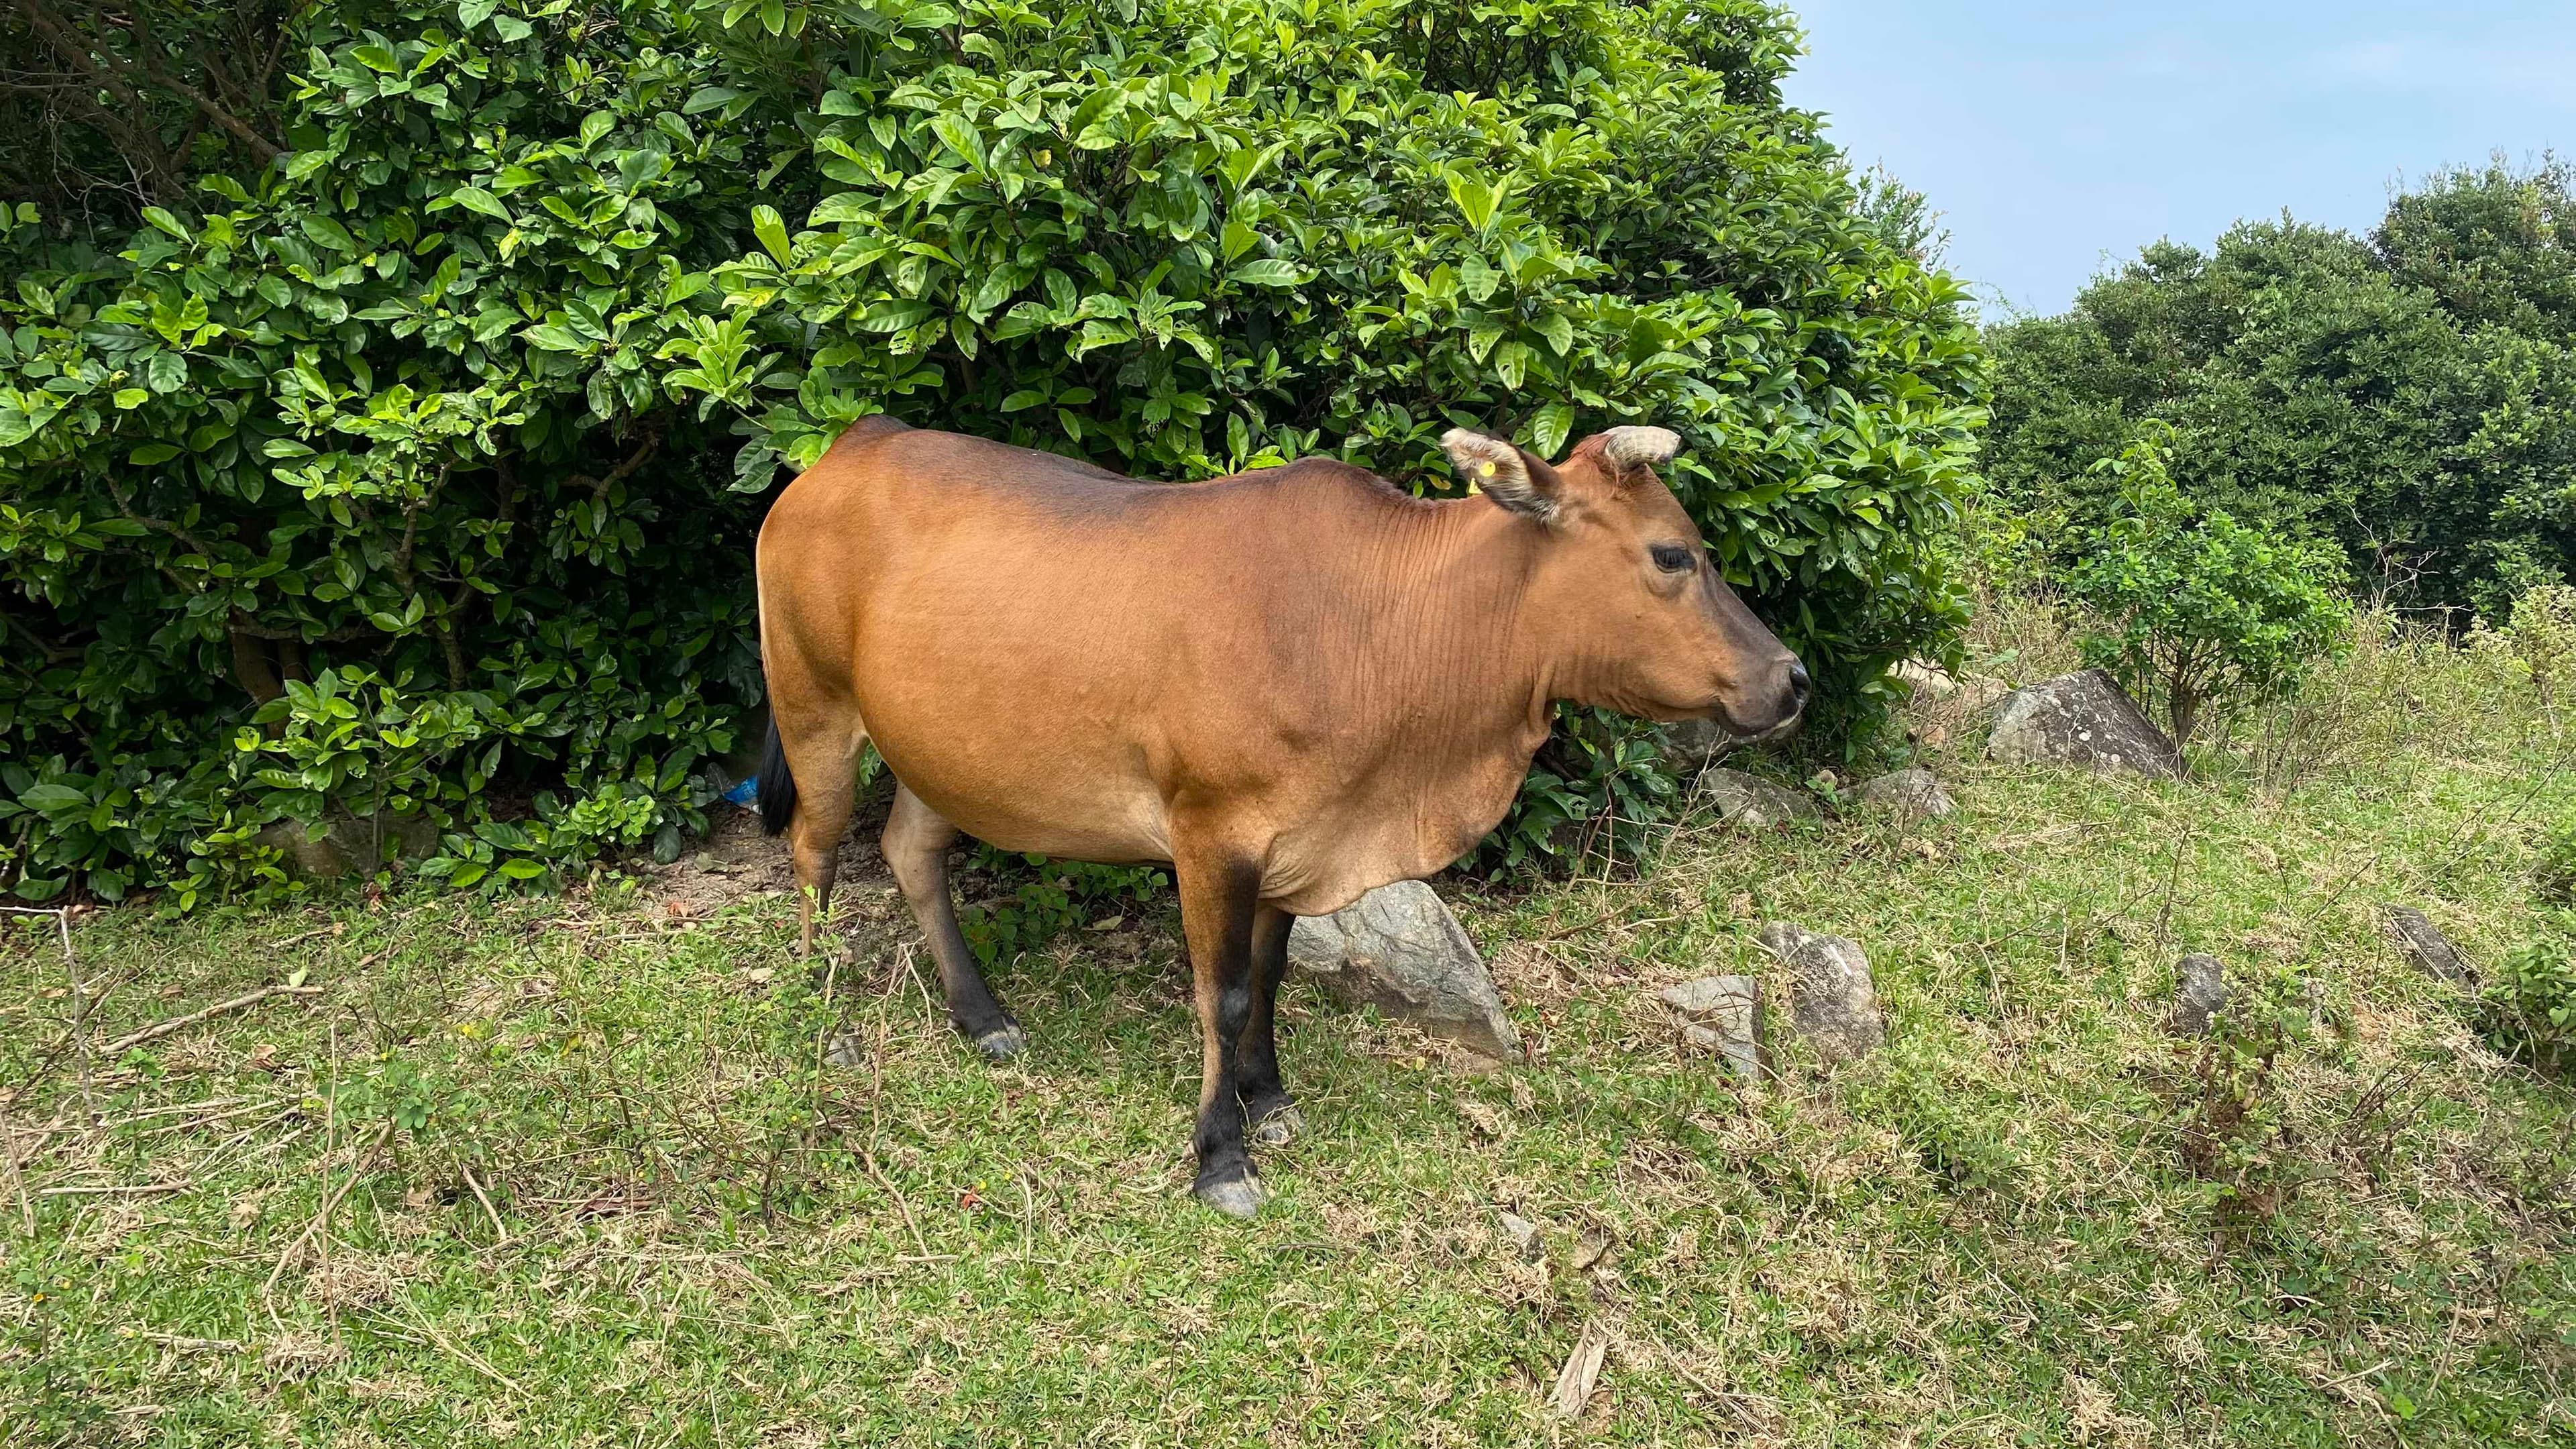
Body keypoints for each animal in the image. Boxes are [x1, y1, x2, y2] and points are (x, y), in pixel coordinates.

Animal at [752, 415, 1803, 1206]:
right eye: (1672, 553)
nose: (1791, 680)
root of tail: (853, 444)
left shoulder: (1298, 844)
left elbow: (1266, 980)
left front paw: (1270, 1099)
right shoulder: (1212, 834)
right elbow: (1218, 994)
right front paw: (1221, 1155)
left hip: (941, 752)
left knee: (909, 849)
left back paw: (983, 1018)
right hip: (813, 708)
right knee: (813, 849)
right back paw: (819, 999)